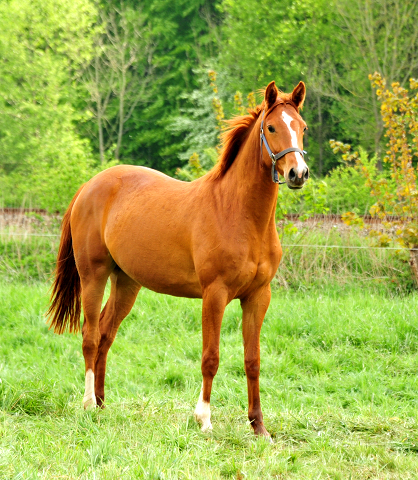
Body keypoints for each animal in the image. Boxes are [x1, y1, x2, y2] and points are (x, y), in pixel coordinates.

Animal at [46, 80, 306, 436]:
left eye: (302, 127)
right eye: (271, 127)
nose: (298, 173)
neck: (238, 213)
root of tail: (89, 186)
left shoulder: (258, 296)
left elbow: (252, 361)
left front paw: (259, 427)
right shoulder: (214, 294)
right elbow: (210, 357)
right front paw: (204, 419)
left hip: (126, 283)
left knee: (105, 335)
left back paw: (101, 404)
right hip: (93, 275)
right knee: (90, 335)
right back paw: (87, 404)